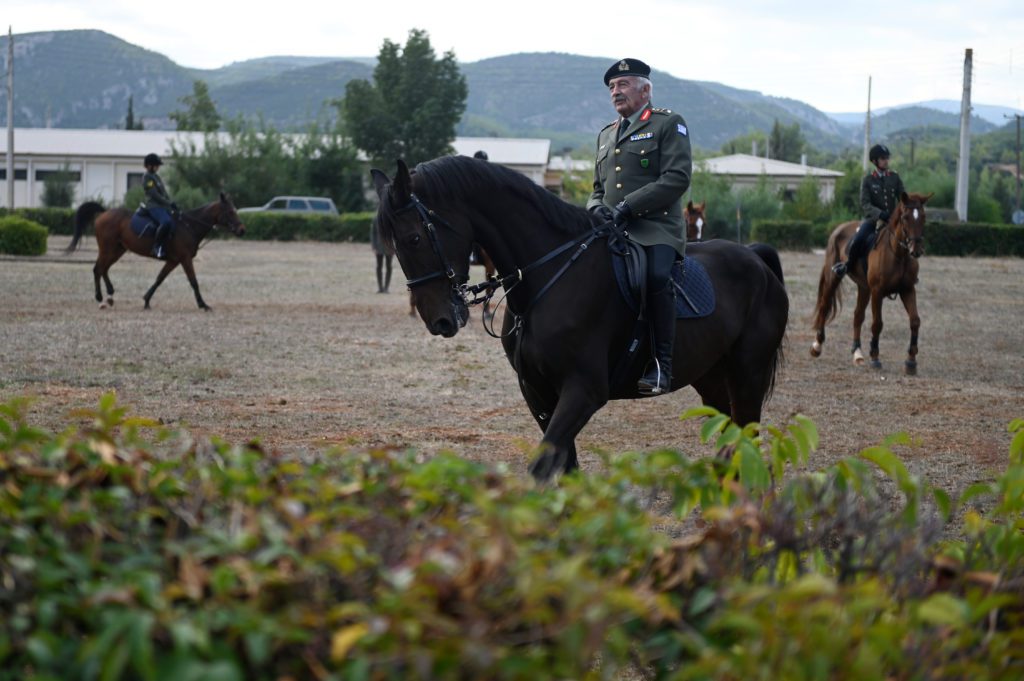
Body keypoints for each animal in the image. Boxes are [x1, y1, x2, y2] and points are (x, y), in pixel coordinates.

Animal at [66, 189, 245, 309]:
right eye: (230, 211)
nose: (242, 230)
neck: (189, 226)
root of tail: (104, 213)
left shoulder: (174, 260)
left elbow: (160, 278)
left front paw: (146, 300)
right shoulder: (185, 259)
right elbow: (193, 281)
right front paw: (203, 304)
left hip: (117, 250)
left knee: (104, 269)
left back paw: (109, 296)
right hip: (107, 249)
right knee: (98, 269)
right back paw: (100, 297)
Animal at [372, 156, 786, 481]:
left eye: (413, 239)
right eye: (394, 245)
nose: (439, 320)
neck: (548, 276)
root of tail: (755, 257)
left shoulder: (584, 391)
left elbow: (541, 469)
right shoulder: (538, 392)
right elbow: (564, 468)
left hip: (747, 374)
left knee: (748, 437)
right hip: (712, 378)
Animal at [811, 189, 933, 372]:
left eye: (923, 217)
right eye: (905, 217)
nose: (916, 250)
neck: (898, 254)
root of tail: (839, 228)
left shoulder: (907, 290)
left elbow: (915, 321)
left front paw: (911, 361)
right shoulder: (877, 291)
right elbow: (877, 323)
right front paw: (875, 357)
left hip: (864, 287)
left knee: (858, 315)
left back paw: (857, 353)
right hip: (835, 277)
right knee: (825, 305)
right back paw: (817, 346)